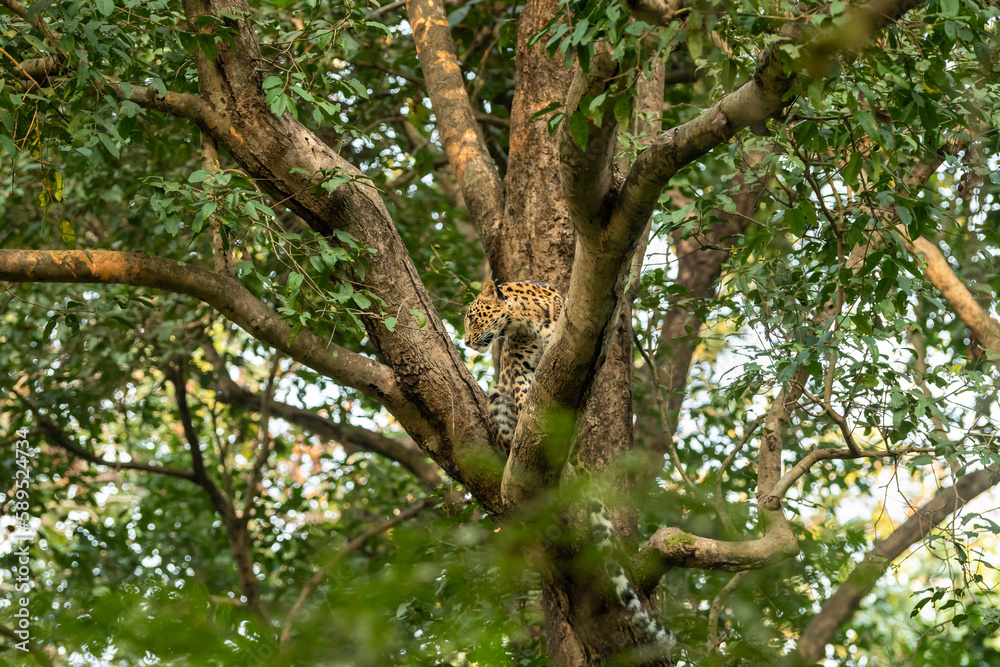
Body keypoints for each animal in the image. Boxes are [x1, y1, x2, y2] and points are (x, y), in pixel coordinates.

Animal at [464, 276, 676, 664]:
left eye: (473, 317)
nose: (467, 342)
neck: (525, 321)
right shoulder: (517, 369)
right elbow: (524, 394)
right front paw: (528, 415)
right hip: (496, 400)